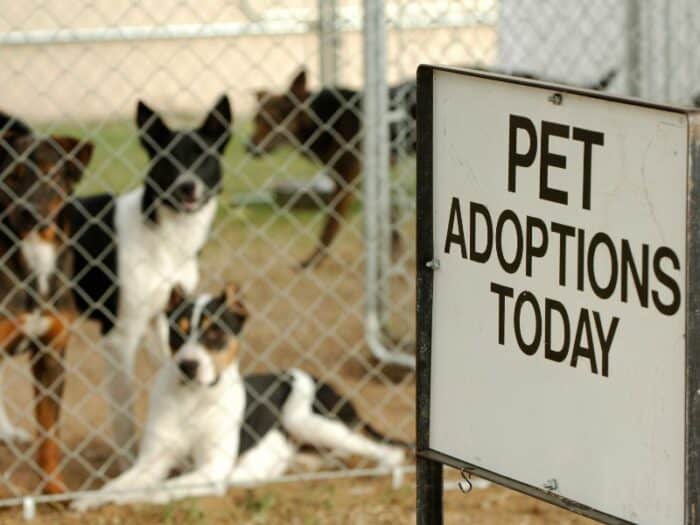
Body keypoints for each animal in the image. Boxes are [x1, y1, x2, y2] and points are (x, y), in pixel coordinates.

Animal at [0, 125, 93, 494]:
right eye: (11, 176)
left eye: (50, 174)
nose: (27, 211)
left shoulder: (51, 355)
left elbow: (50, 432)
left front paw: (53, 488)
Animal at [72, 282, 408, 508]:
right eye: (177, 332)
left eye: (215, 334)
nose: (188, 366)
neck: (193, 398)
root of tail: (322, 381)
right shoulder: (151, 463)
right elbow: (116, 484)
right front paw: (89, 499)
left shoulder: (211, 469)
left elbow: (155, 489)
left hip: (306, 419)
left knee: (388, 451)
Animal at [73, 95, 234, 462]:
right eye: (168, 160)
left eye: (203, 158)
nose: (187, 186)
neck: (162, 234)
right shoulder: (120, 336)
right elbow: (123, 417)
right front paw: (127, 464)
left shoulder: (164, 319)